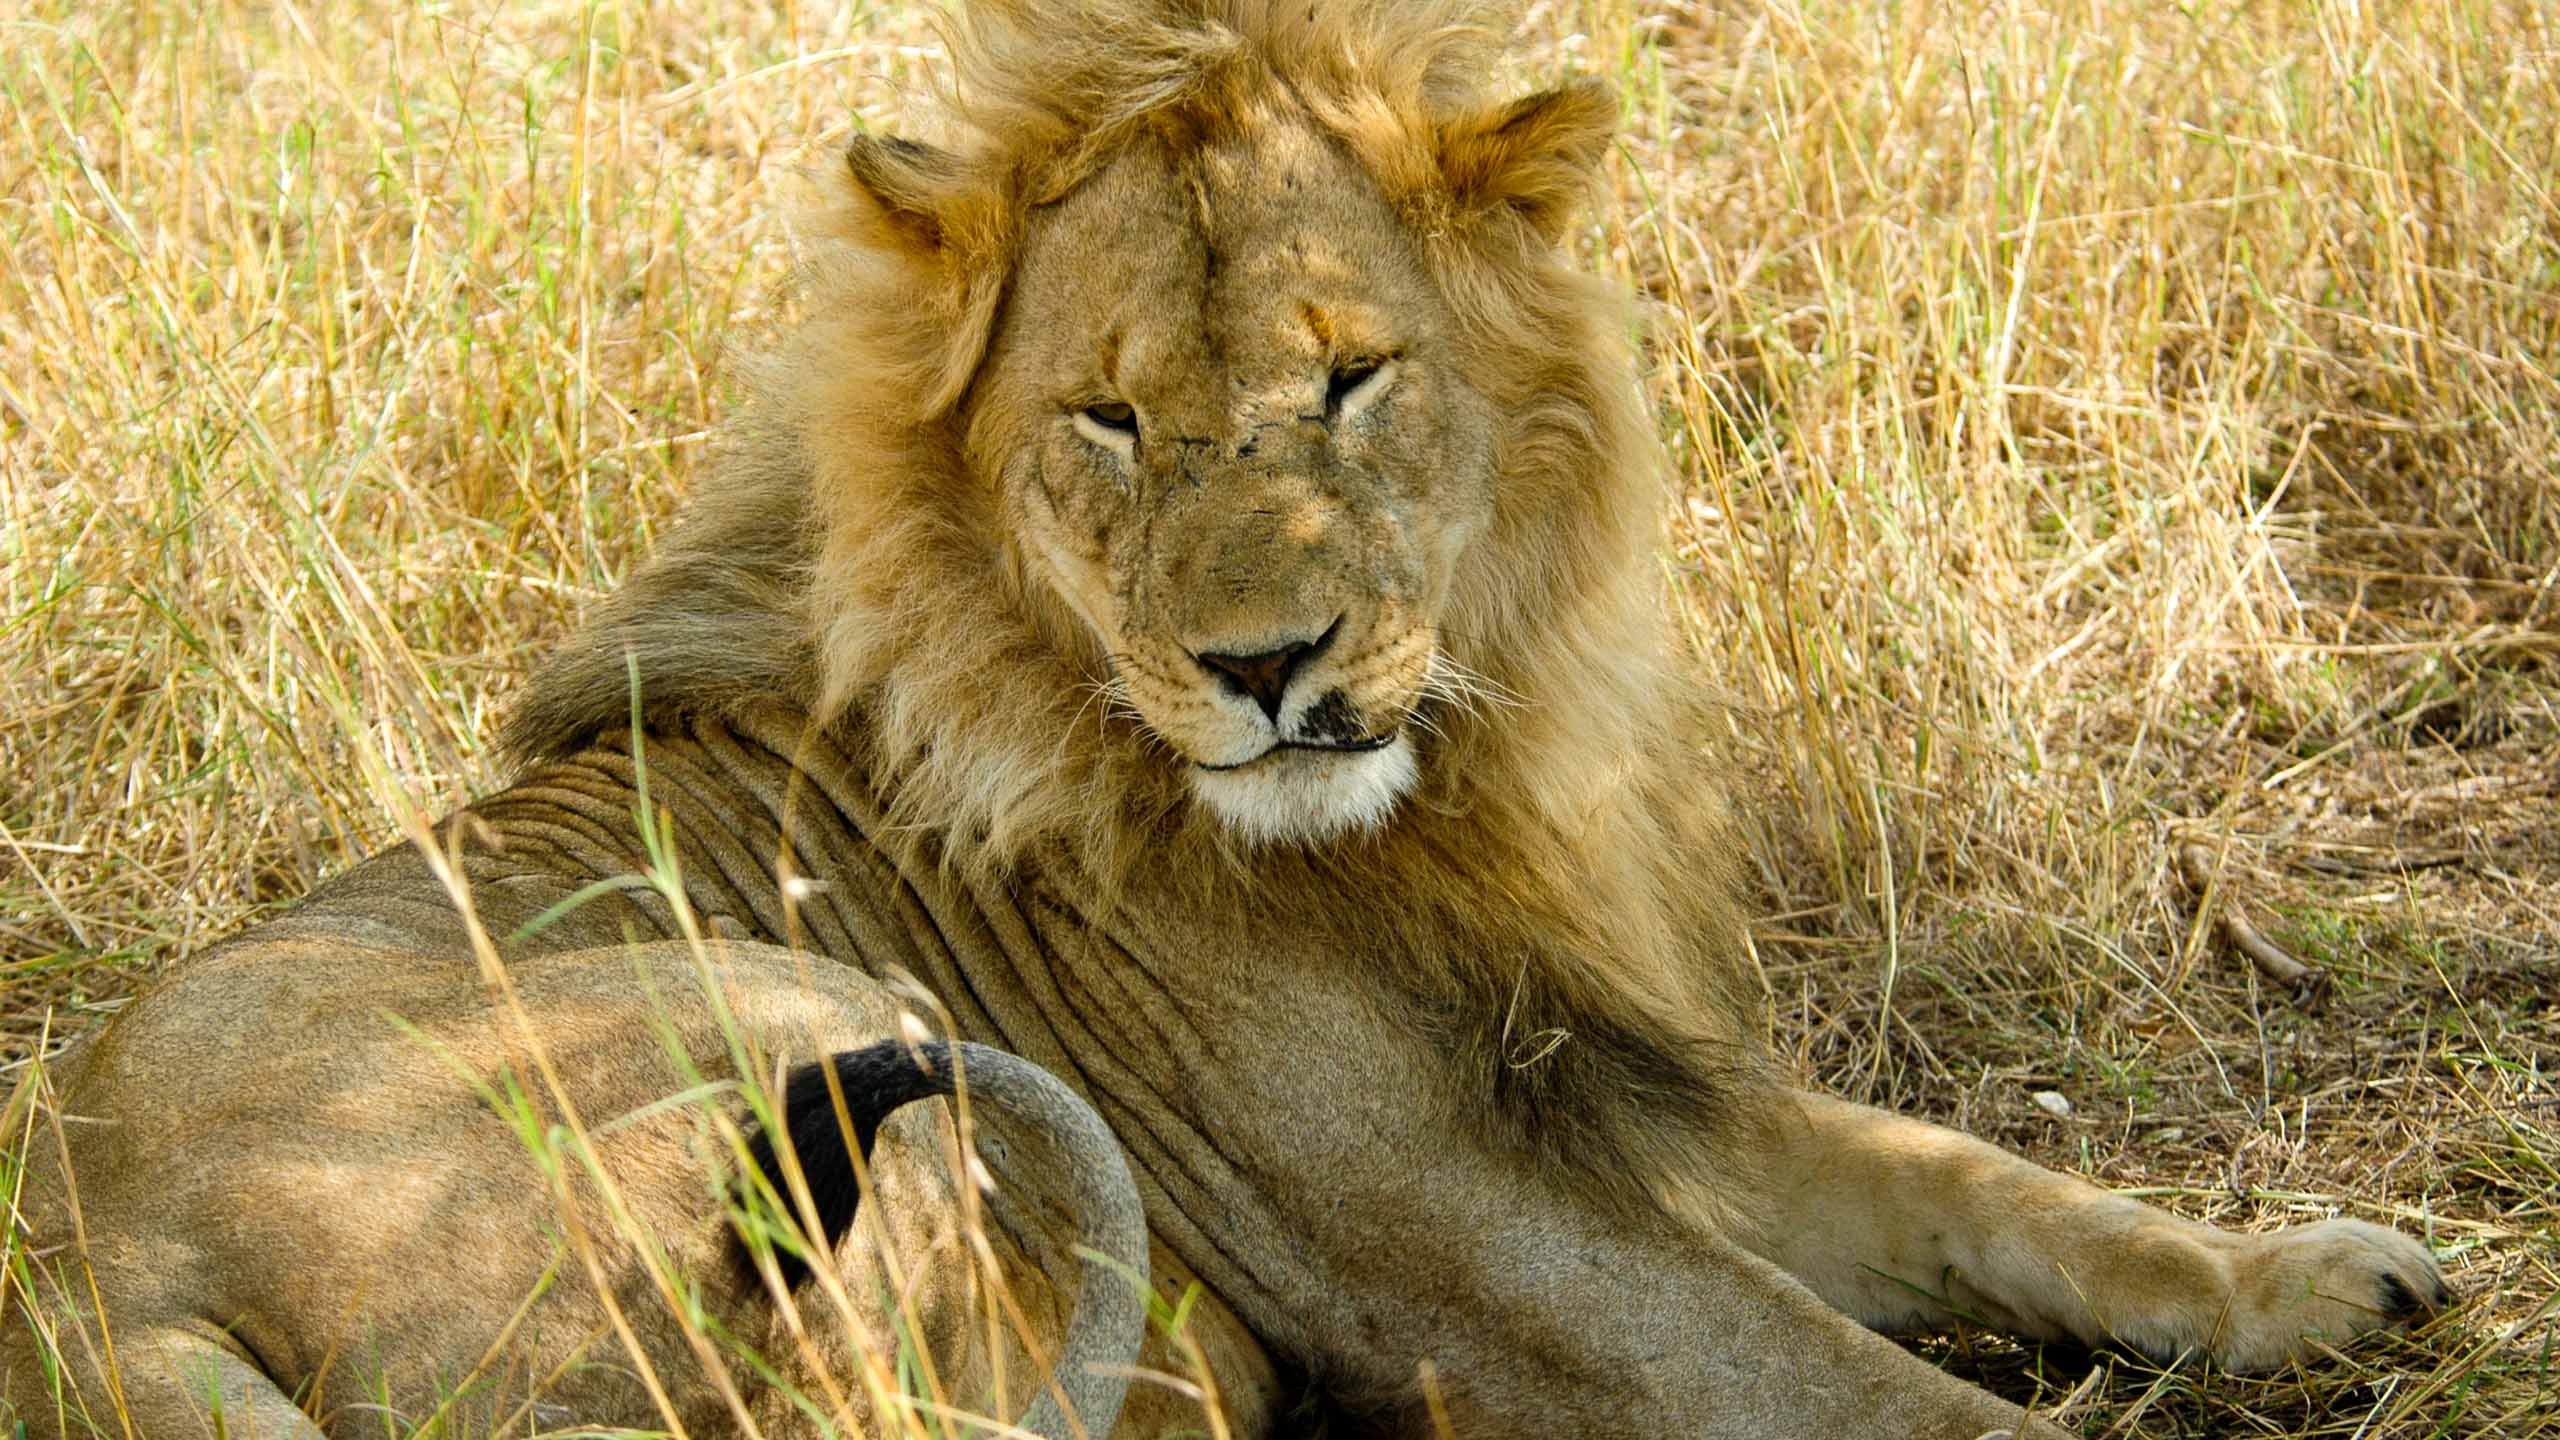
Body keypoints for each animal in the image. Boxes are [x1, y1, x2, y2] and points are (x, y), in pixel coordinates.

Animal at [2, 2, 2450, 1437]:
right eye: (1105, 421)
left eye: (1350, 377)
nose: (1267, 668)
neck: (1429, 795)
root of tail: (87, 1296)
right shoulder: (1449, 1236)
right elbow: (1877, 1394)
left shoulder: (1595, 1083)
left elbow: (1992, 1189)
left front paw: (2309, 1276)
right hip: (800, 1028)